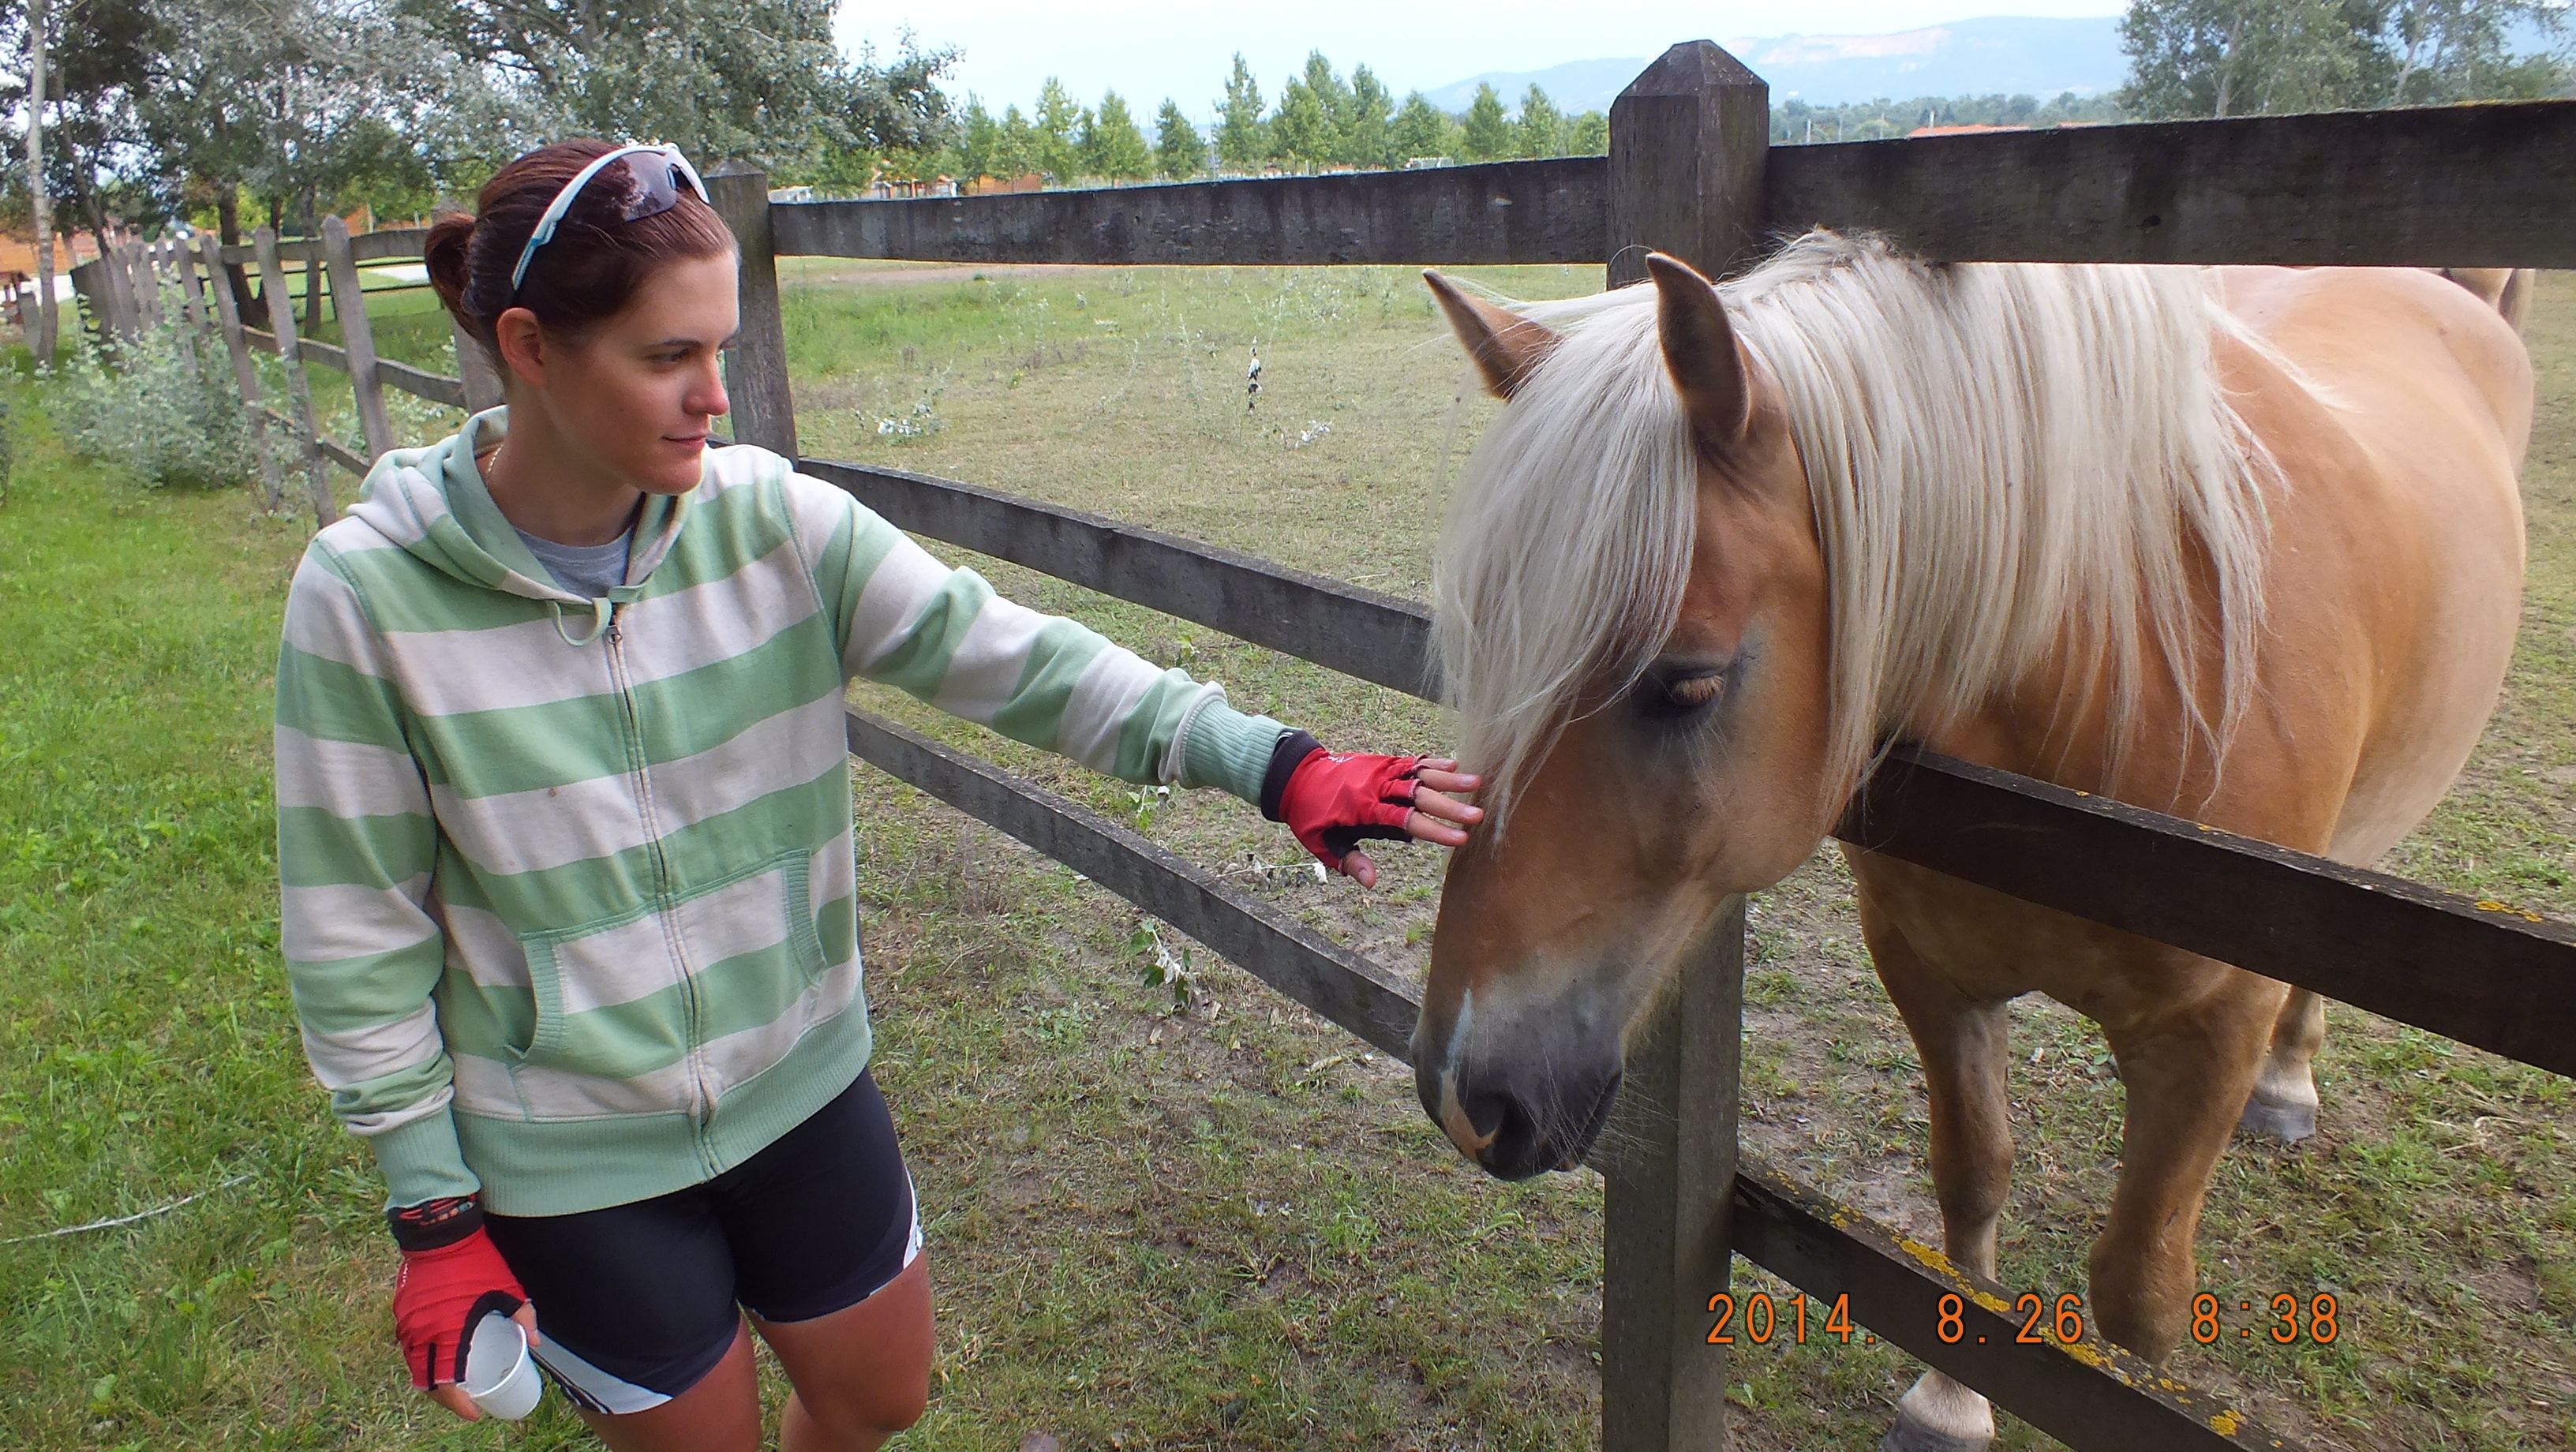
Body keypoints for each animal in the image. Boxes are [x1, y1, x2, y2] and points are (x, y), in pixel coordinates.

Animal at [1409, 233, 2533, 1452]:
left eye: (1688, 682)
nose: (1467, 1097)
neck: (2118, 674)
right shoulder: (1932, 969)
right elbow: (1971, 1179)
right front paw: (1951, 1400)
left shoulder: (2213, 1028)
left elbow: (2139, 1308)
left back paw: (2290, 1085)